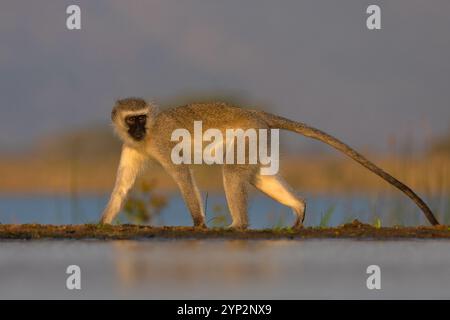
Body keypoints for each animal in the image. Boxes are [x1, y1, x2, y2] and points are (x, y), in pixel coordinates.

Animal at [101, 97, 440, 228]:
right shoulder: (130, 149)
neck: (145, 138)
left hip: (248, 133)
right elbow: (122, 186)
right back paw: (299, 207)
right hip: (256, 138)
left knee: (233, 172)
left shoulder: (160, 141)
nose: (137, 129)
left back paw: (239, 225)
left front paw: (197, 223)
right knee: (256, 176)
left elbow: (183, 176)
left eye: (142, 118)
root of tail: (255, 112)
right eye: (131, 120)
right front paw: (104, 221)